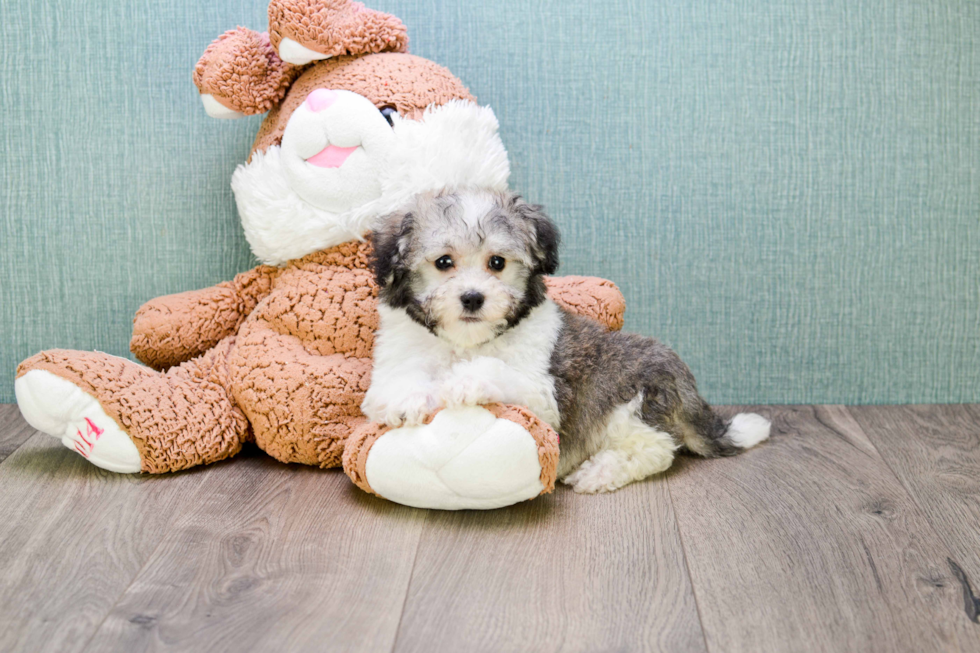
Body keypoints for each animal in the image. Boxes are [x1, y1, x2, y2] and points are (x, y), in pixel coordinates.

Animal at [364, 188, 768, 494]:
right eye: (443, 262)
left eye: (497, 263)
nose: (473, 298)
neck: (466, 342)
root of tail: (687, 389)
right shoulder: (397, 354)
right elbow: (396, 381)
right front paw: (406, 399)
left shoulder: (545, 394)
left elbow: (500, 371)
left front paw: (465, 380)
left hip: (631, 391)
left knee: (657, 446)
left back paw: (601, 470)